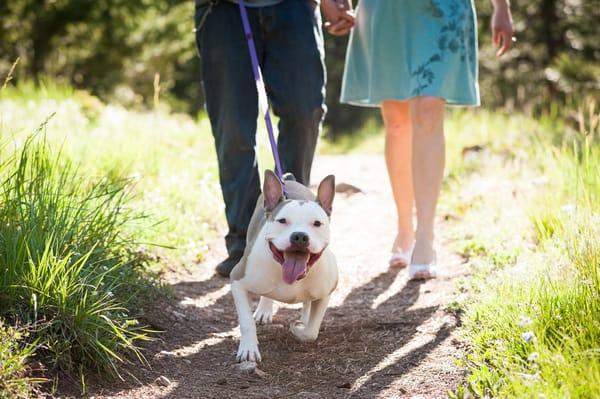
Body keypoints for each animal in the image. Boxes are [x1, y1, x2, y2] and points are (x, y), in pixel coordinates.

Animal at [230, 170, 338, 364]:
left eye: (317, 223)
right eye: (282, 221)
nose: (300, 236)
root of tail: (288, 179)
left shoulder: (327, 291)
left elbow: (312, 331)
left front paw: (299, 328)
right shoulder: (237, 281)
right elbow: (246, 322)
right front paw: (249, 349)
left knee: (307, 304)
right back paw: (264, 310)